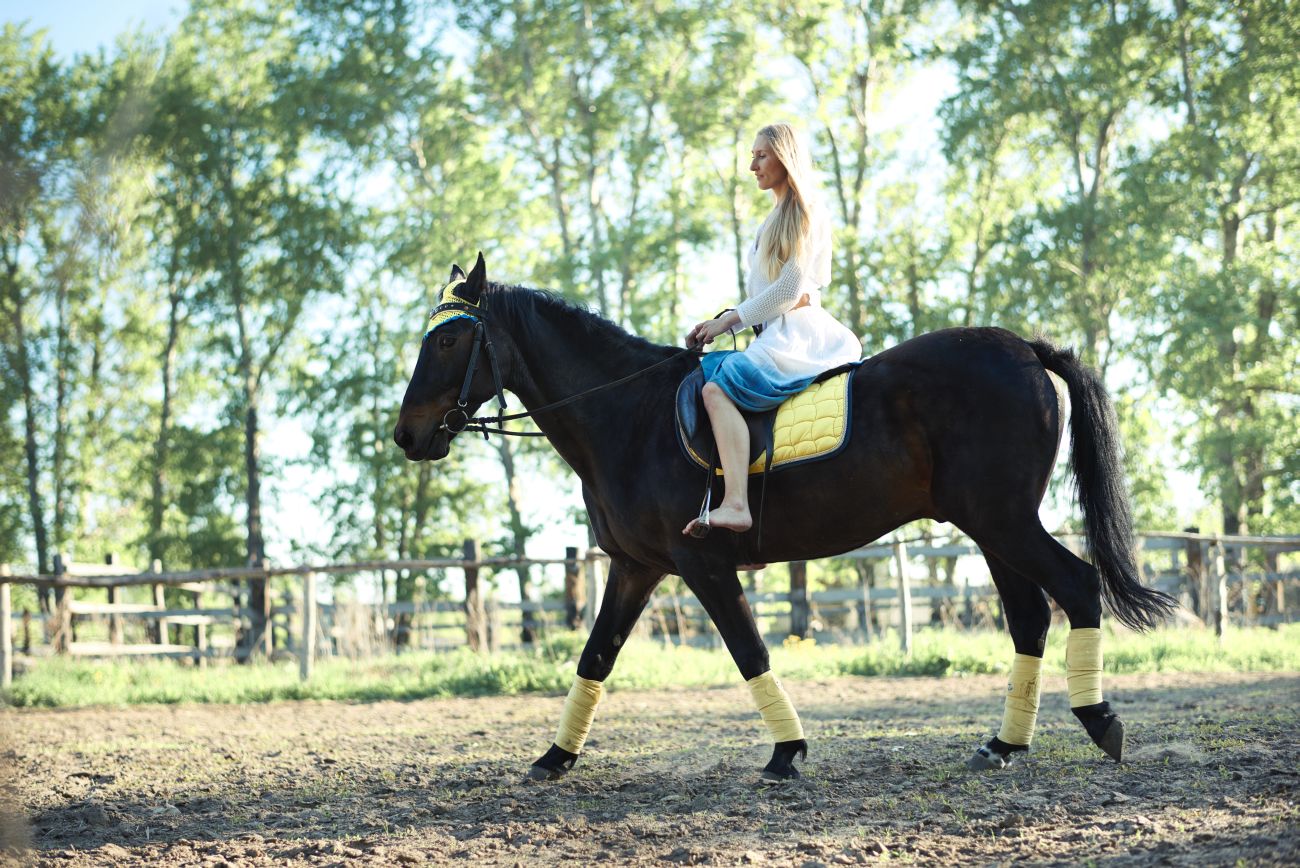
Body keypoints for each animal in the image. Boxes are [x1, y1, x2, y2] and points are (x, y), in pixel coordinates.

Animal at [394, 253, 1175, 781]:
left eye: (447, 340)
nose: (407, 435)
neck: (628, 417)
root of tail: (1023, 348)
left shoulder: (701, 562)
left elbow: (749, 650)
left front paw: (786, 752)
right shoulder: (636, 567)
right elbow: (596, 656)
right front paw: (554, 757)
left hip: (1004, 521)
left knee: (1075, 587)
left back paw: (1100, 721)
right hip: (989, 528)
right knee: (1030, 617)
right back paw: (1005, 745)